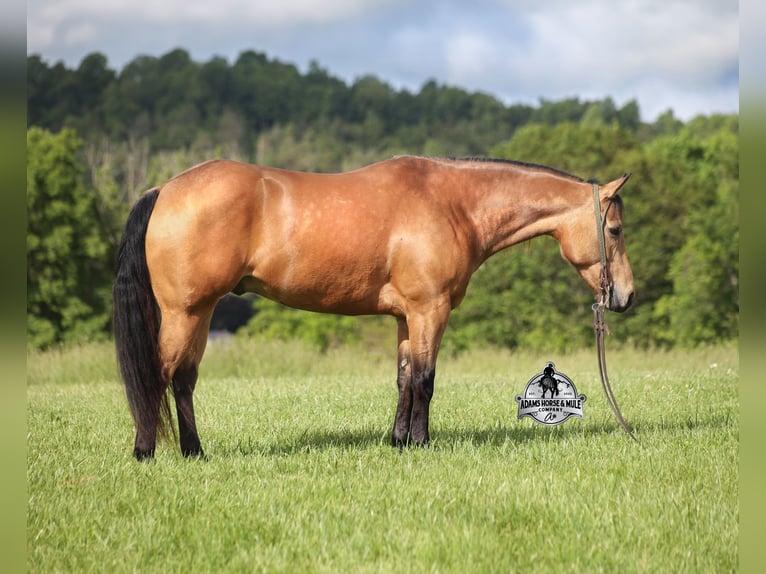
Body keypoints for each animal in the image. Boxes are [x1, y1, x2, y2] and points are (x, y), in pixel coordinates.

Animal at [113, 156, 634, 460]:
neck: (452, 204)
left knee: (183, 380)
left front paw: (398, 443)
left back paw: (194, 452)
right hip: (185, 312)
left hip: (200, 314)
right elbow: (425, 379)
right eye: (615, 230)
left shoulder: (406, 317)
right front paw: (422, 445)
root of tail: (164, 190)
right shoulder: (429, 311)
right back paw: (146, 452)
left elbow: (404, 378)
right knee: (160, 376)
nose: (625, 297)